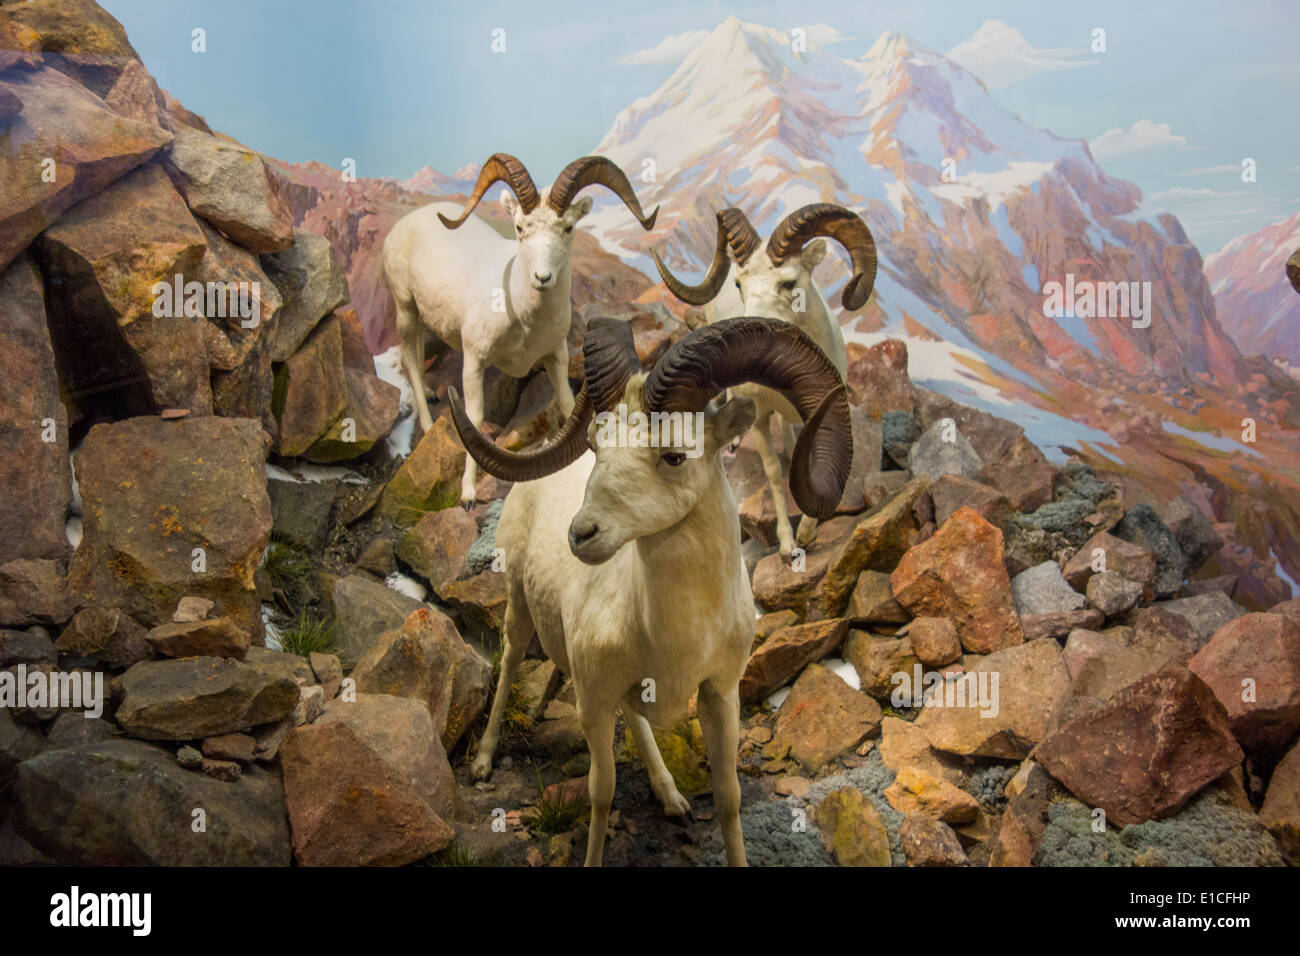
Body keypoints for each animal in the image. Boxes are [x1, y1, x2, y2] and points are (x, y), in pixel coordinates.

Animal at [379, 151, 655, 502]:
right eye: (520, 227)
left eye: (568, 227)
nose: (542, 278)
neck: (522, 316)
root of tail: (407, 221)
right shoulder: (474, 361)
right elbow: (475, 419)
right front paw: (468, 494)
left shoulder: (556, 357)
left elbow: (566, 405)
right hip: (405, 308)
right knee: (409, 358)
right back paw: (428, 425)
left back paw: (429, 395)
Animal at [447, 316, 852, 868]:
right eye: (596, 445)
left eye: (675, 455)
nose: (581, 535)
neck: (674, 639)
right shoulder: (593, 703)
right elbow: (601, 794)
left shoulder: (720, 695)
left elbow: (729, 799)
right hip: (517, 607)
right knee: (508, 663)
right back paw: (484, 764)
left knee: (634, 718)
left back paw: (670, 796)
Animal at [655, 205, 878, 556]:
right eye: (738, 284)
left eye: (790, 282)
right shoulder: (760, 419)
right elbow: (773, 472)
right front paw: (789, 545)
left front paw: (808, 534)